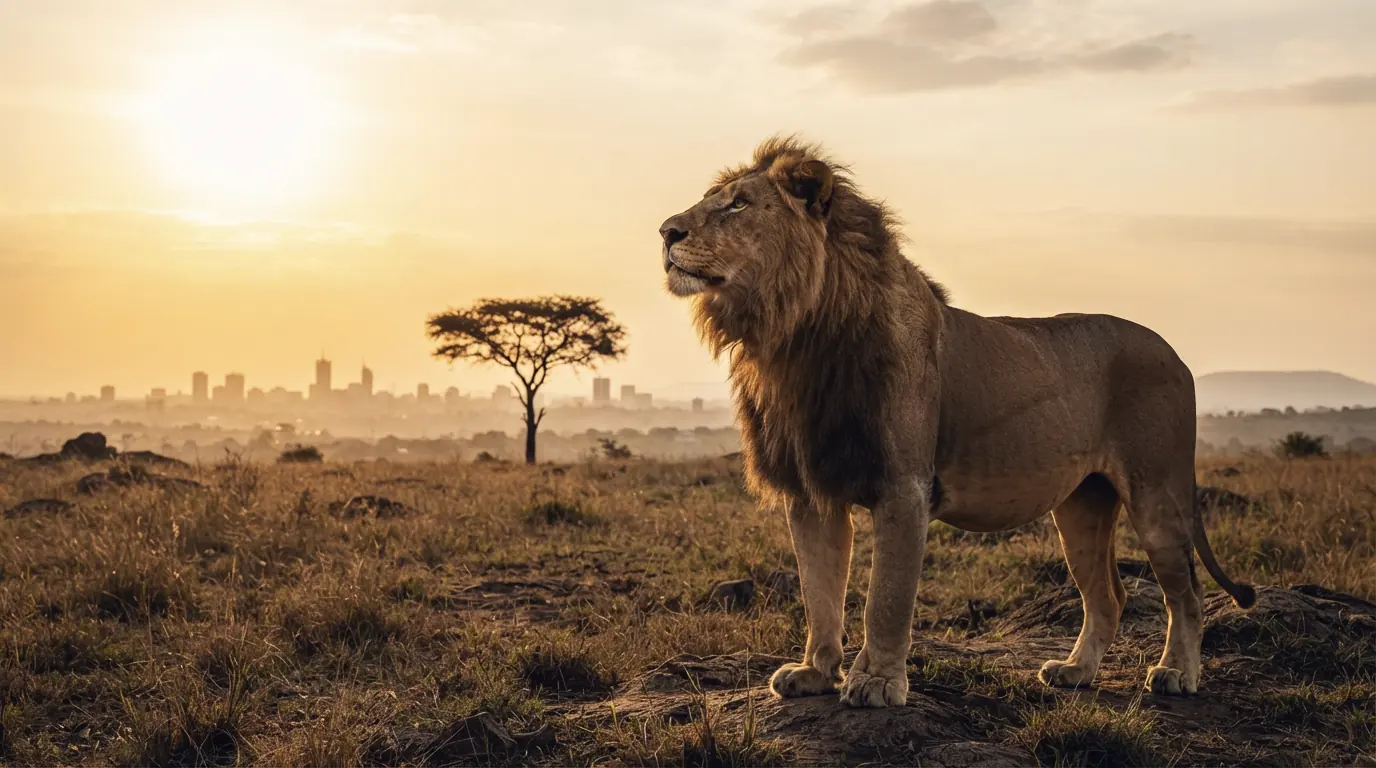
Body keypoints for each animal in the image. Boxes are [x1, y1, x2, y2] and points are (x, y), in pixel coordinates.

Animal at [657, 136, 1256, 708]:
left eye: (738, 204)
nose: (665, 231)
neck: (793, 337)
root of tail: (1176, 355)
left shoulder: (904, 487)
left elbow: (885, 599)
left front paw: (876, 683)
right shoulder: (811, 492)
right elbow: (819, 592)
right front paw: (815, 674)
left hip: (1158, 493)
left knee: (1186, 593)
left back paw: (1176, 673)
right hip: (1081, 507)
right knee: (1109, 596)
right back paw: (1076, 672)